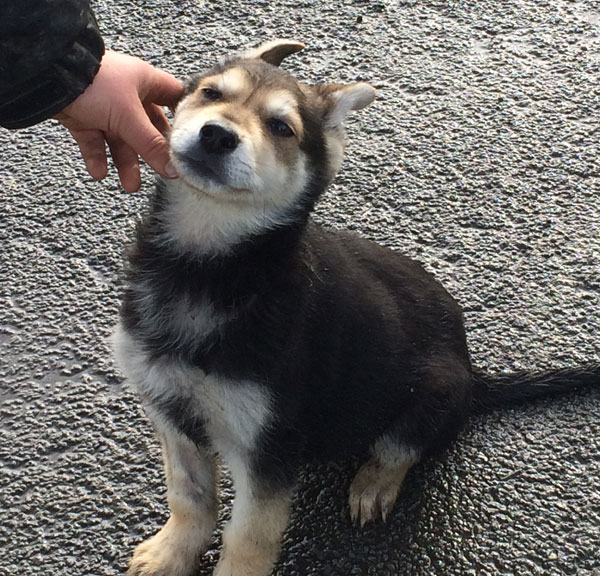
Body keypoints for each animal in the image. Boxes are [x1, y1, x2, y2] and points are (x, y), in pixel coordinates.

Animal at [113, 40, 600, 576]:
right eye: (211, 94)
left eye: (281, 128)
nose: (217, 135)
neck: (209, 269)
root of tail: (474, 374)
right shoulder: (168, 409)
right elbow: (188, 494)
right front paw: (172, 553)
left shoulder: (268, 449)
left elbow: (247, 540)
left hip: (437, 387)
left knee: (402, 446)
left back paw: (373, 483)